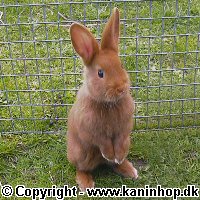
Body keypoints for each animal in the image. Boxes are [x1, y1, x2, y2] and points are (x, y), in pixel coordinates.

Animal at [67, 7, 138, 191]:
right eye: (100, 73)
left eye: (121, 65)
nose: (121, 88)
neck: (109, 104)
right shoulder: (92, 131)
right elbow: (103, 142)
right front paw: (110, 154)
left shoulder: (124, 128)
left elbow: (119, 141)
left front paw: (118, 156)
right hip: (80, 154)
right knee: (81, 168)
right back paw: (86, 184)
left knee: (113, 164)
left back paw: (128, 169)